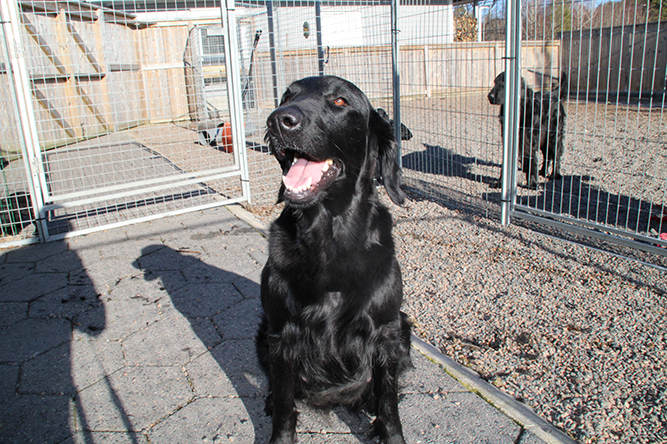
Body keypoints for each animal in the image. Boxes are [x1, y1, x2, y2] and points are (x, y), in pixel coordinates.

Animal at [257, 76, 412, 444]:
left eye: (340, 101)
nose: (278, 120)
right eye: (287, 96)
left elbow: (388, 401)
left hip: (404, 327)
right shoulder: (280, 333)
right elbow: (285, 403)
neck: (328, 238)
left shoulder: (386, 331)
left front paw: (389, 431)